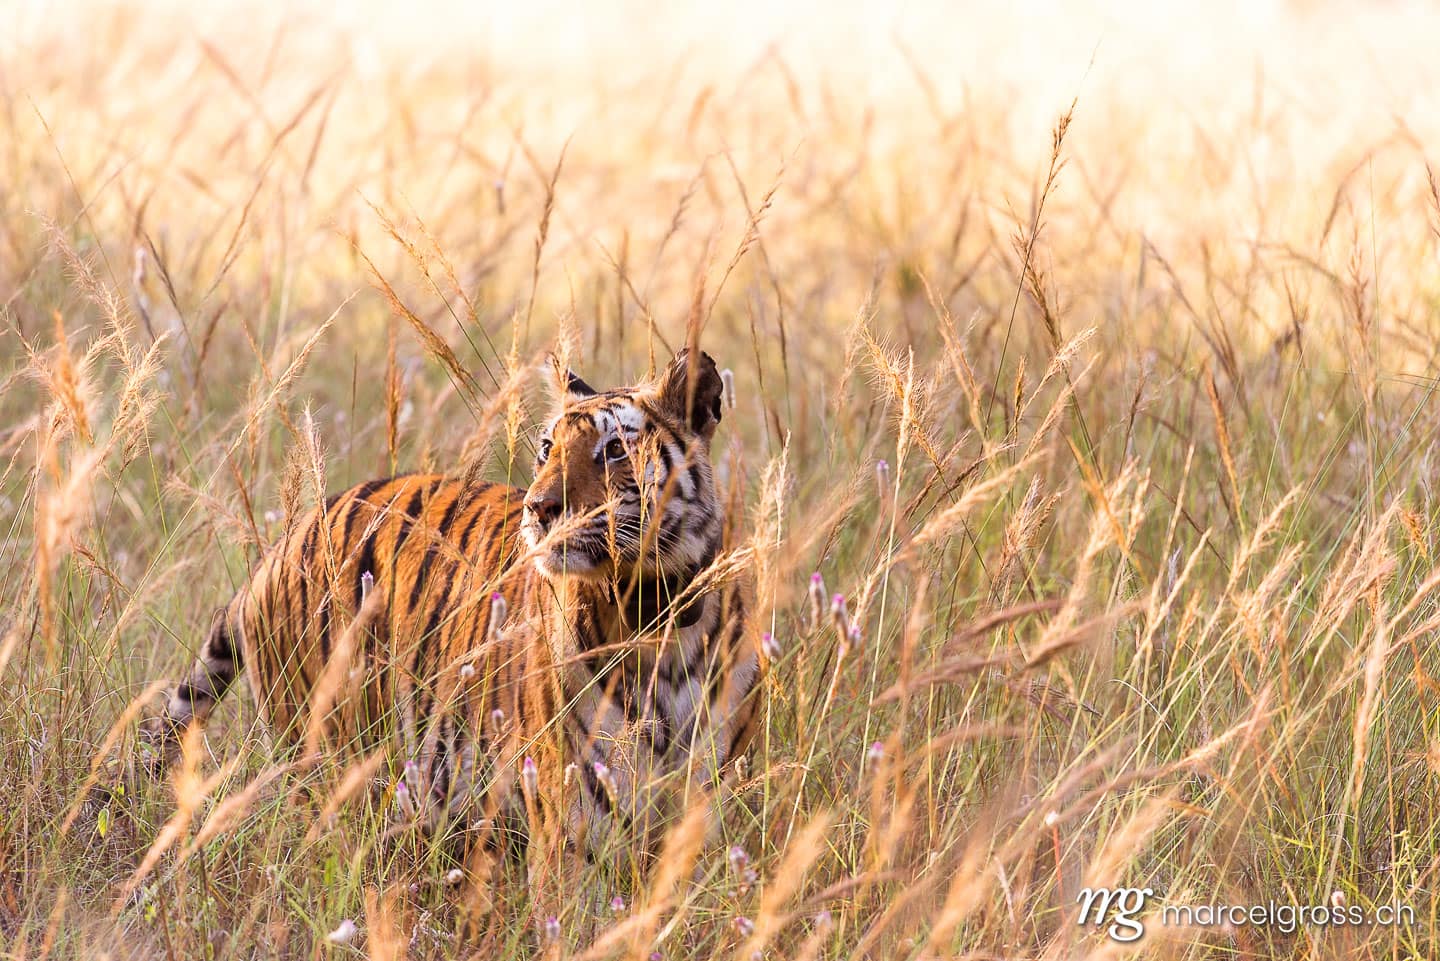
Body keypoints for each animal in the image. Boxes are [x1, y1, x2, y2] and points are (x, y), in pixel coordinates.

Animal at [141, 348, 760, 923]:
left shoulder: (701, 813)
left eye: (614, 451)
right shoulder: (570, 823)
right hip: (330, 761)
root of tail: (285, 542)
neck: (659, 622)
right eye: (546, 447)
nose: (539, 508)